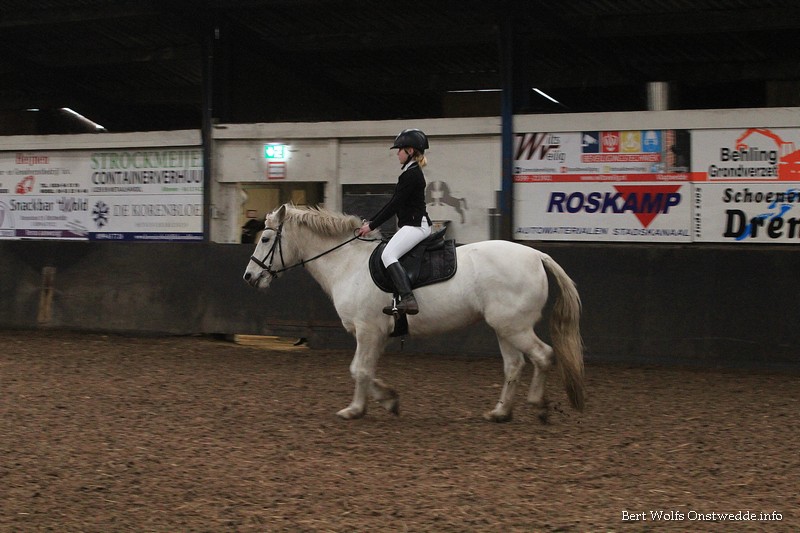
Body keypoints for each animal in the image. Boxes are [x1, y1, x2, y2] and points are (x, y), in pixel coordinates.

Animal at [243, 204, 585, 422]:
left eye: (265, 239)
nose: (249, 276)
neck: (347, 263)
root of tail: (536, 254)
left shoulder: (368, 331)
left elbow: (359, 369)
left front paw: (354, 410)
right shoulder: (377, 334)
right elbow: (364, 370)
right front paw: (388, 399)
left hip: (515, 327)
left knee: (543, 356)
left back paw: (538, 406)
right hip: (505, 328)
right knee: (514, 366)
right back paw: (500, 413)